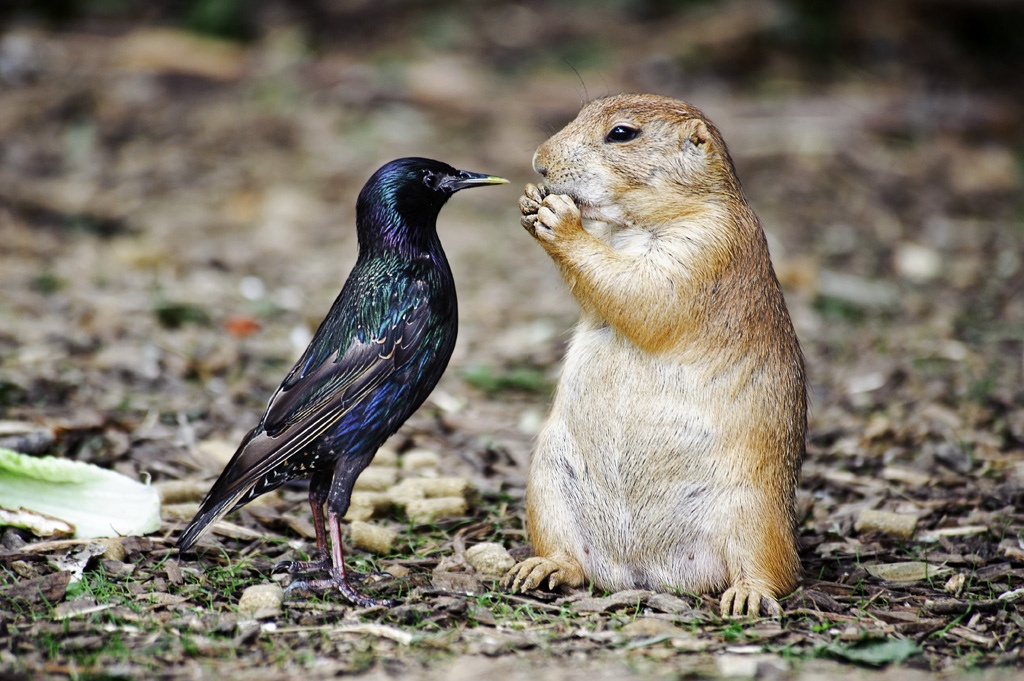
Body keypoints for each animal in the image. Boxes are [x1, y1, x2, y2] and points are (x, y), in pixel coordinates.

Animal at [502, 94, 807, 617]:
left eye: (622, 133)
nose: (539, 162)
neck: (637, 225)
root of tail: (642, 571)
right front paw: (529, 200)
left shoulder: (706, 246)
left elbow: (644, 292)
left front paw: (557, 217)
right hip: (548, 487)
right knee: (570, 561)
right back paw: (539, 568)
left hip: (756, 513)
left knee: (777, 572)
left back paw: (747, 596)